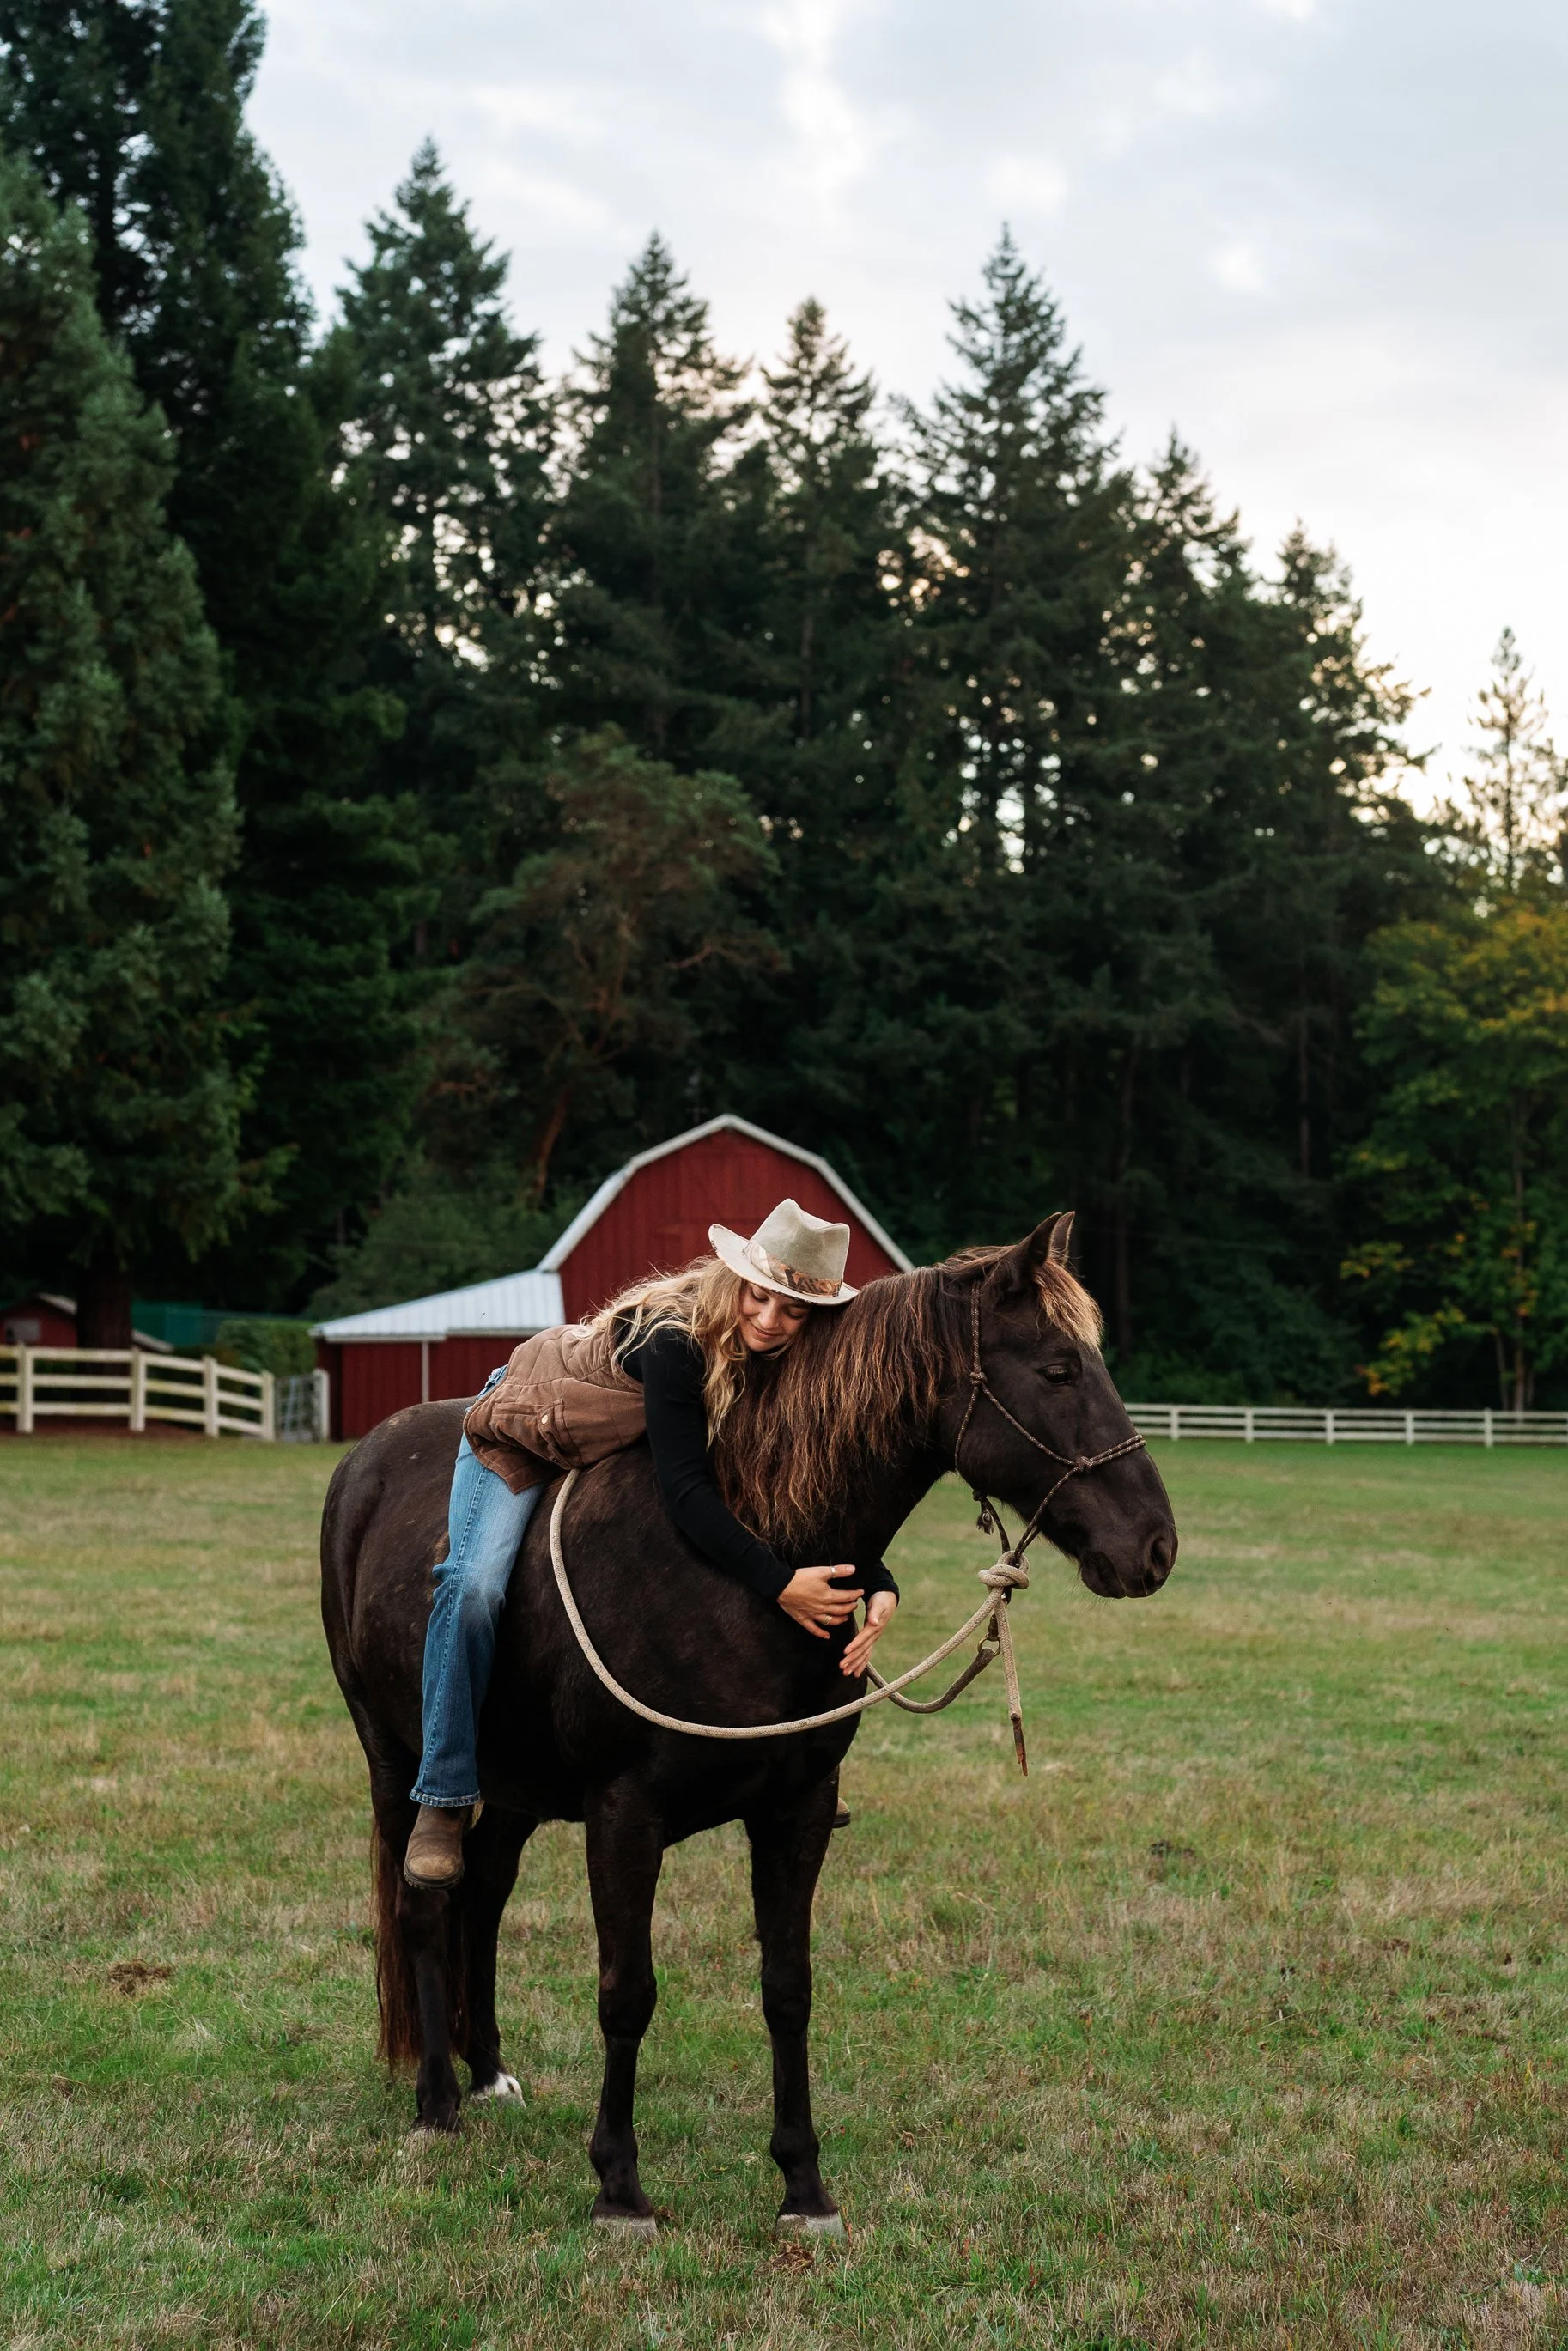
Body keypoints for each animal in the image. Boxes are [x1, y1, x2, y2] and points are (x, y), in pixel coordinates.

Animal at [319, 1214, 1177, 2233]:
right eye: (1056, 1367)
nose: (1154, 1545)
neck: (742, 1556)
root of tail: (363, 1463)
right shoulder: (624, 1817)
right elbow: (627, 1992)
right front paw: (619, 2187)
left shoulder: (796, 1811)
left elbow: (787, 1989)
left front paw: (803, 2184)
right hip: (397, 1764)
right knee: (425, 1900)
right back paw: (437, 2102)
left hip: (518, 1786)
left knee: (483, 1893)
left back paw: (487, 2073)